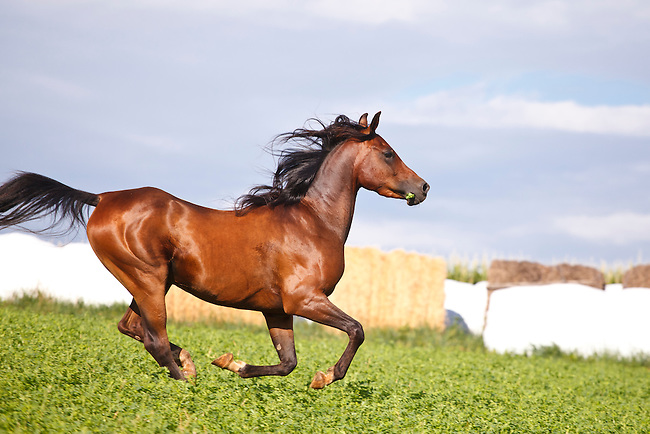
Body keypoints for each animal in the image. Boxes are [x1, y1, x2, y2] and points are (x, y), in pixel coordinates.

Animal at [0, 112, 428, 390]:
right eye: (388, 152)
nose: (423, 188)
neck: (312, 222)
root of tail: (102, 197)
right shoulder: (305, 299)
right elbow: (356, 330)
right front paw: (324, 378)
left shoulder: (277, 309)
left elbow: (287, 363)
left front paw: (231, 363)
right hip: (148, 279)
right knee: (154, 338)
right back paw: (185, 381)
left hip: (150, 281)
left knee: (132, 327)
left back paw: (189, 362)